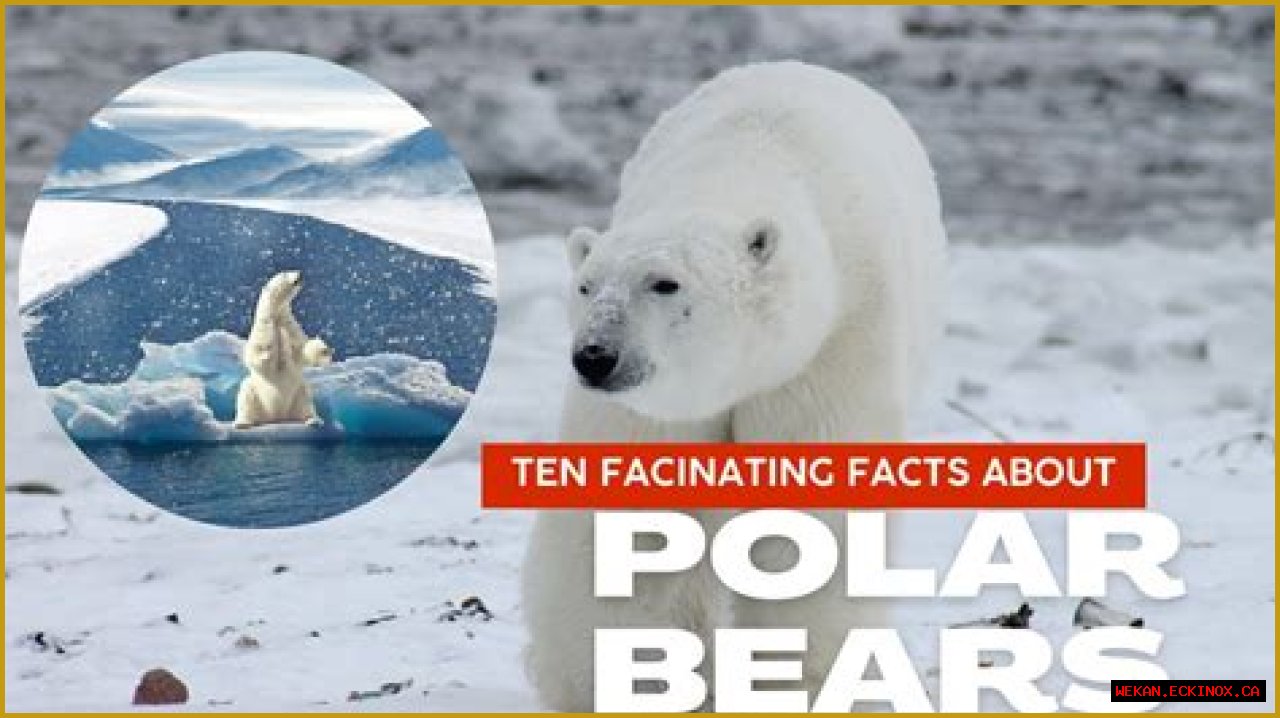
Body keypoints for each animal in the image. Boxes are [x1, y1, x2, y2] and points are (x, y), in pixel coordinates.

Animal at [233, 270, 324, 429]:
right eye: (284, 273)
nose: (300, 273)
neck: (277, 315)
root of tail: (277, 416)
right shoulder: (263, 327)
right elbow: (256, 352)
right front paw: (267, 355)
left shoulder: (290, 326)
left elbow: (302, 349)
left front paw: (324, 350)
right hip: (256, 392)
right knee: (246, 395)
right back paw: (242, 423)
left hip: (298, 392)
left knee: (306, 401)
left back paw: (314, 420)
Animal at [522, 62, 947, 711]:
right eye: (587, 286)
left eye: (664, 283)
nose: (595, 357)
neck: (746, 158)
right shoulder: (652, 409)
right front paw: (623, 679)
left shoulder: (833, 343)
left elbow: (810, 516)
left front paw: (807, 684)